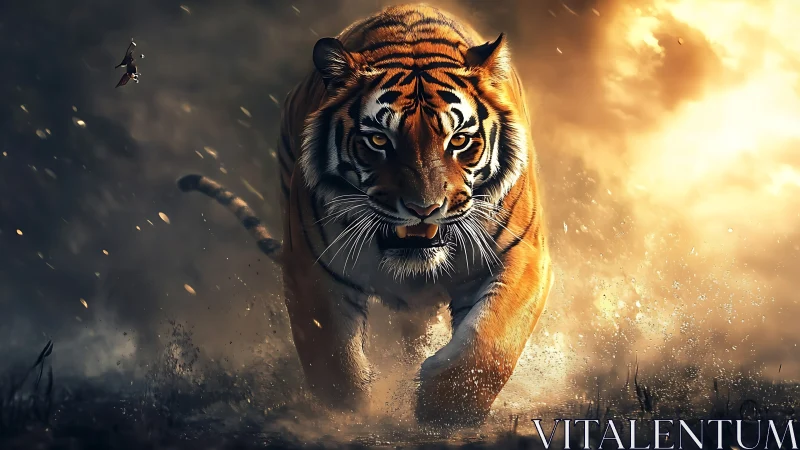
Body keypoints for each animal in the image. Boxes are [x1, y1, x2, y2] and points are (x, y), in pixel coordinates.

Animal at [178, 3, 552, 428]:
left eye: (458, 140)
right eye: (377, 140)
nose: (424, 209)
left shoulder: (523, 256)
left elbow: (491, 343)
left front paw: (443, 410)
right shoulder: (311, 267)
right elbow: (332, 358)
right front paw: (347, 417)